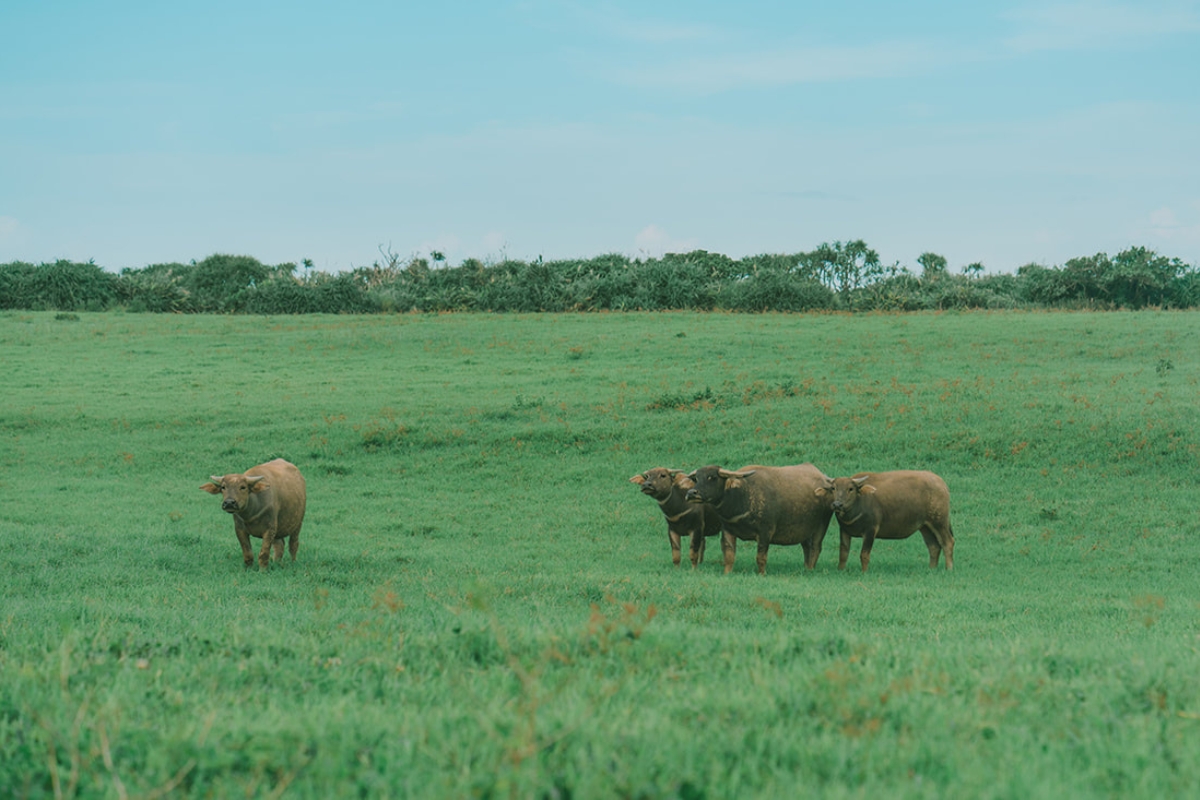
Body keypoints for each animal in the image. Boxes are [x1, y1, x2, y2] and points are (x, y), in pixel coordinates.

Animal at [686, 462, 835, 575]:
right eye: (696, 478)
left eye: (712, 477)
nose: (692, 493)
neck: (742, 496)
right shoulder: (727, 530)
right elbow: (729, 555)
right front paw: (727, 573)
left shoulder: (765, 532)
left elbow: (761, 557)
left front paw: (761, 574)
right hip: (804, 530)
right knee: (806, 547)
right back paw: (806, 567)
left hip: (822, 525)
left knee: (815, 547)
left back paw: (810, 569)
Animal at [816, 472, 955, 573]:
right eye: (833, 488)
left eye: (850, 489)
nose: (837, 504)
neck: (859, 504)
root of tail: (942, 485)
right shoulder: (844, 530)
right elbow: (843, 553)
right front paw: (840, 570)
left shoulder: (871, 530)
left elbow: (864, 554)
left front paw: (864, 572)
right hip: (925, 526)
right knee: (934, 546)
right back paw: (931, 568)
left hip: (939, 521)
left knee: (948, 542)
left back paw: (949, 568)